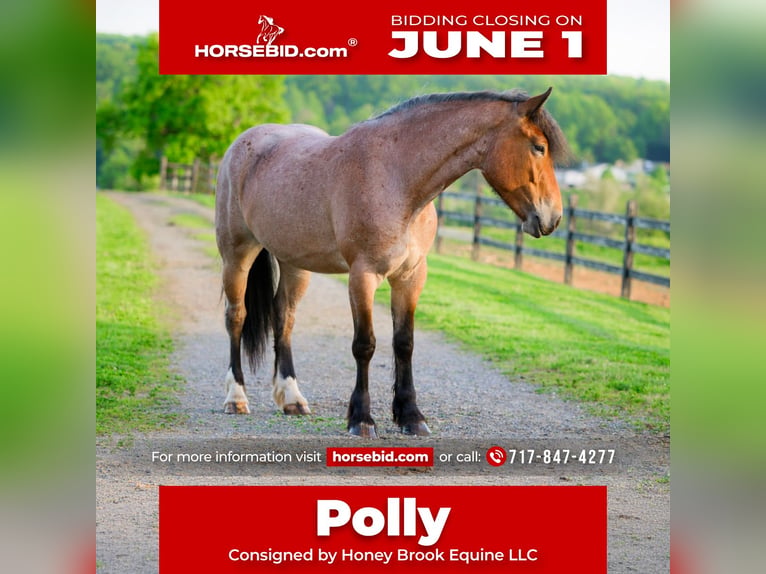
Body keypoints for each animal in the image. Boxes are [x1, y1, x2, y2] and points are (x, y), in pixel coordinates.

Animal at [215, 88, 569, 438]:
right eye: (539, 147)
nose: (552, 218)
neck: (397, 179)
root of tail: (242, 143)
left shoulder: (411, 276)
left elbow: (404, 343)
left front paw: (410, 416)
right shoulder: (363, 275)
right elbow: (365, 344)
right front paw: (361, 419)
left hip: (294, 263)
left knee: (284, 317)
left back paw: (291, 398)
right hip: (237, 255)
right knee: (236, 316)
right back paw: (236, 397)